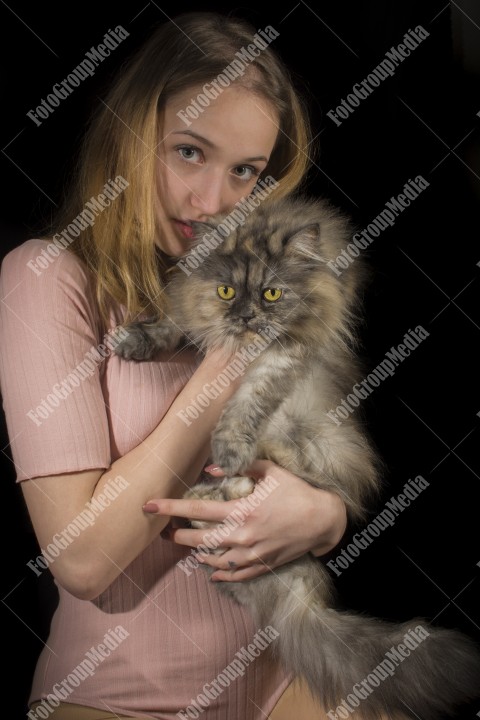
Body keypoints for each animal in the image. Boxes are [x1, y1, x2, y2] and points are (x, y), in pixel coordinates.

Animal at [114, 194, 478, 716]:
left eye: (271, 294)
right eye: (227, 291)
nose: (246, 318)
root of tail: (298, 597)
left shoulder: (288, 352)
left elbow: (249, 398)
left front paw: (230, 446)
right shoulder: (195, 311)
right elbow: (173, 321)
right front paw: (135, 340)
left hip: (313, 442)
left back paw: (235, 479)